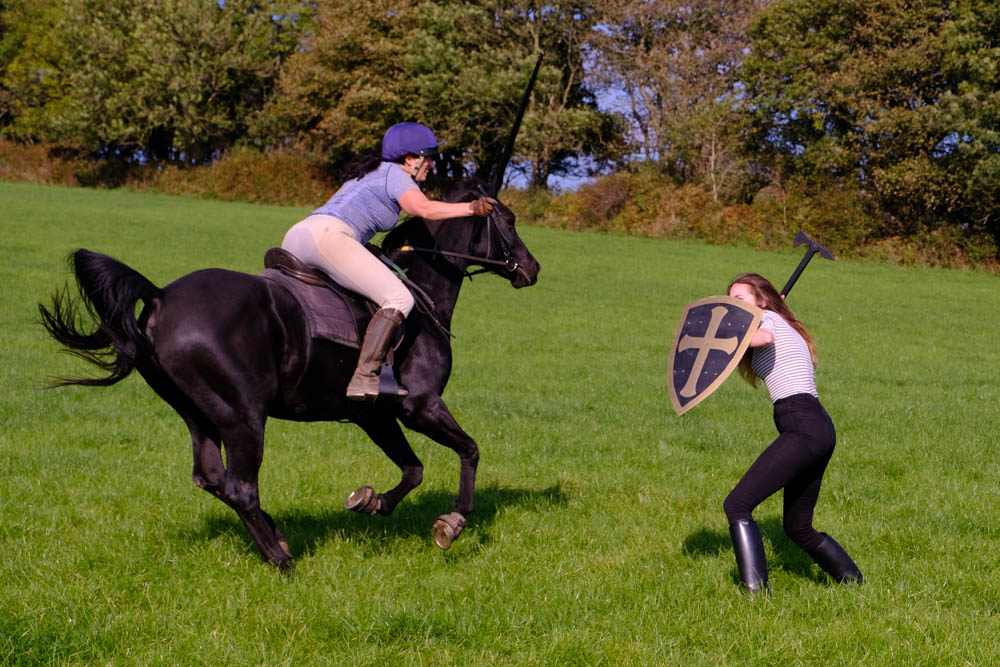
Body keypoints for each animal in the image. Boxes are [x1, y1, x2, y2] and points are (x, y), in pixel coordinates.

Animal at [41, 183, 540, 568]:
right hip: (243, 417)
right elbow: (470, 451)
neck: (419, 290)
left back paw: (278, 537)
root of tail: (160, 295)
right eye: (509, 220)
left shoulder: (375, 415)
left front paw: (371, 500)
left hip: (197, 413)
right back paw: (281, 560)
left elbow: (413, 470)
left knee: (211, 478)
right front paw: (451, 524)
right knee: (240, 487)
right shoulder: (420, 406)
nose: (533, 269)